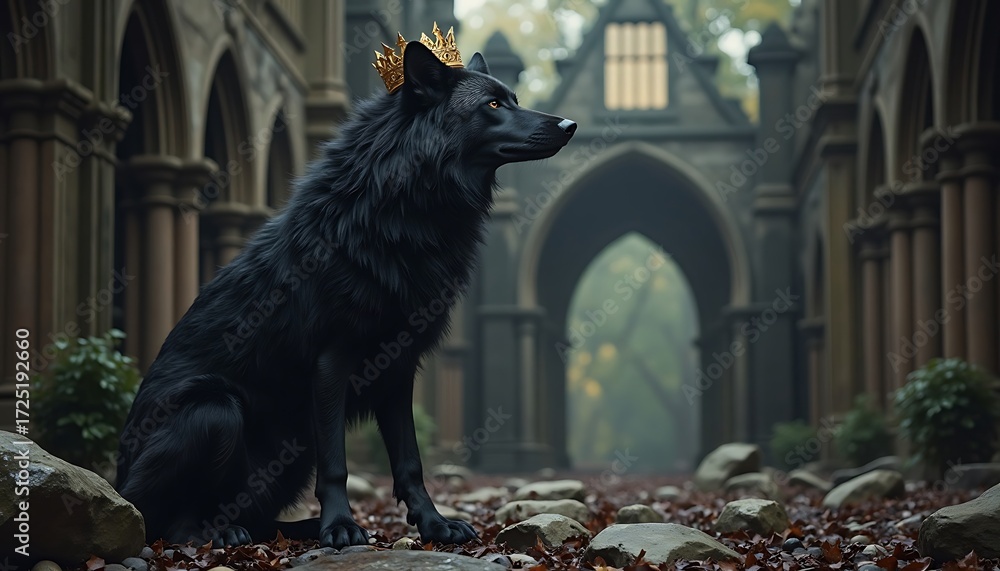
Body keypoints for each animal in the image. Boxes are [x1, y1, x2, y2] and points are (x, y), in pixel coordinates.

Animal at [115, 40, 576, 548]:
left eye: (513, 99)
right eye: (493, 106)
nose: (570, 125)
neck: (398, 211)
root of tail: (119, 479)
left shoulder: (399, 367)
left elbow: (410, 461)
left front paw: (434, 525)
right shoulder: (332, 360)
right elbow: (337, 464)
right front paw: (340, 527)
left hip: (291, 450)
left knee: (258, 515)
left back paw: (288, 528)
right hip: (216, 412)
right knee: (171, 520)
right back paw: (221, 533)